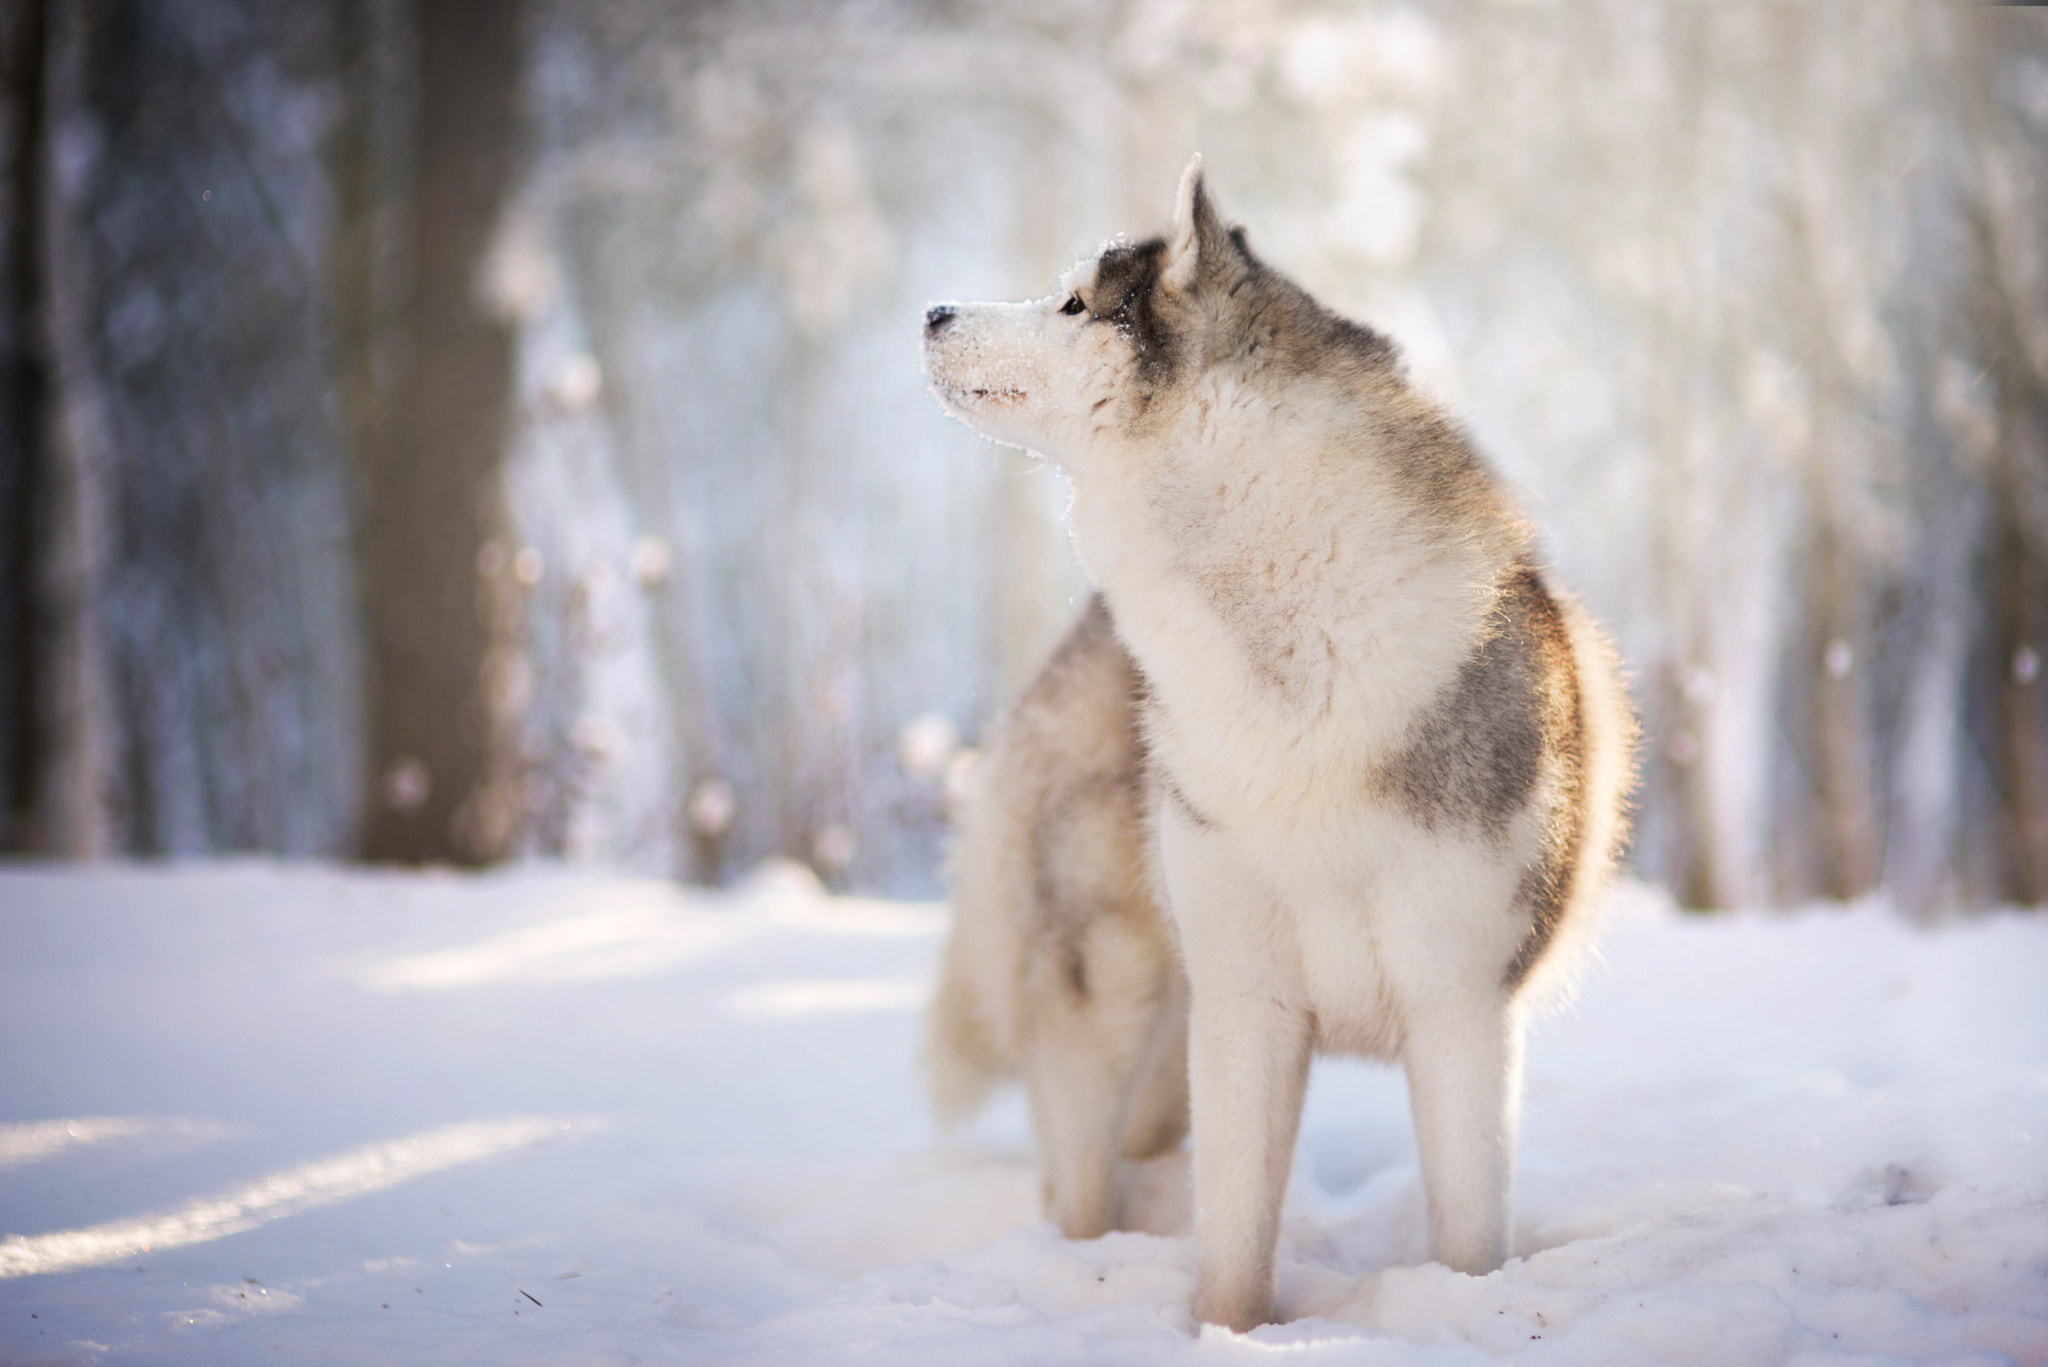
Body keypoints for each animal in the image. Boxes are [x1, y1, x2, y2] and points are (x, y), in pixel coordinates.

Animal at [921, 154, 1638, 1328]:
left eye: (1075, 302)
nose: (932, 310)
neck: (1296, 659)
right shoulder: (1244, 1005)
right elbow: (1232, 1247)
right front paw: (1225, 1334)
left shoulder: (1459, 1007)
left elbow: (1468, 1235)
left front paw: (1464, 1309)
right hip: (1111, 992)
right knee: (1077, 1176)